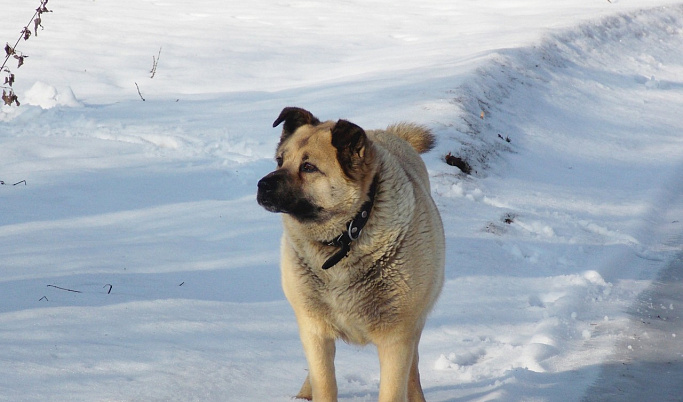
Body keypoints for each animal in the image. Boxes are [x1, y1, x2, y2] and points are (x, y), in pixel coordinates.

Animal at [256, 107, 444, 402]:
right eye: (280, 161)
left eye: (308, 167)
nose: (261, 185)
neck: (347, 235)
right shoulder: (315, 330)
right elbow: (324, 382)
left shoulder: (396, 338)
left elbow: (394, 388)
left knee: (413, 369)